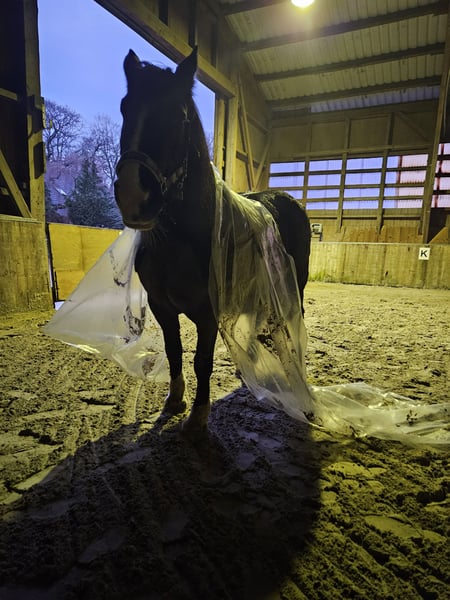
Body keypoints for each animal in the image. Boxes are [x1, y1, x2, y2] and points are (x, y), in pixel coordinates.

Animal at [114, 47, 311, 435]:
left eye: (178, 117)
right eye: (125, 106)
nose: (133, 194)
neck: (181, 239)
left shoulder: (207, 311)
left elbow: (202, 360)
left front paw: (198, 416)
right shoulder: (161, 305)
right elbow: (174, 351)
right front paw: (174, 400)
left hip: (294, 286)